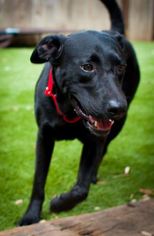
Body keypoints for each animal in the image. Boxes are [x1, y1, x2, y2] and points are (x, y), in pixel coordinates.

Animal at [19, 0, 140, 226]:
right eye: (87, 67)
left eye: (121, 67)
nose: (119, 107)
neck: (68, 111)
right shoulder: (44, 138)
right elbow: (39, 180)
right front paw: (31, 215)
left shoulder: (93, 140)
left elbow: (81, 189)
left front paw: (60, 204)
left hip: (117, 127)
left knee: (103, 151)